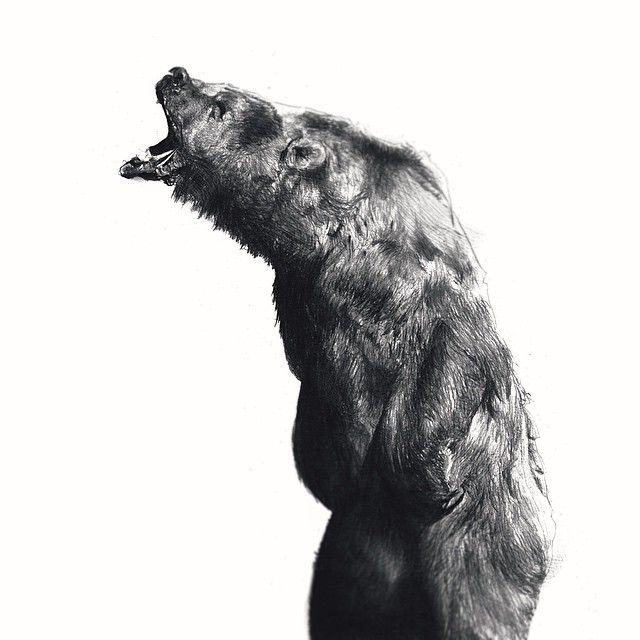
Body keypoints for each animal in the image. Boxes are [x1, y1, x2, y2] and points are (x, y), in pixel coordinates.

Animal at [121, 67, 553, 640]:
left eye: (220, 104)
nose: (175, 75)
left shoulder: (429, 284)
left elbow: (451, 356)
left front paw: (433, 480)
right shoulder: (304, 296)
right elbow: (319, 402)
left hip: (485, 547)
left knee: (477, 604)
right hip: (351, 557)